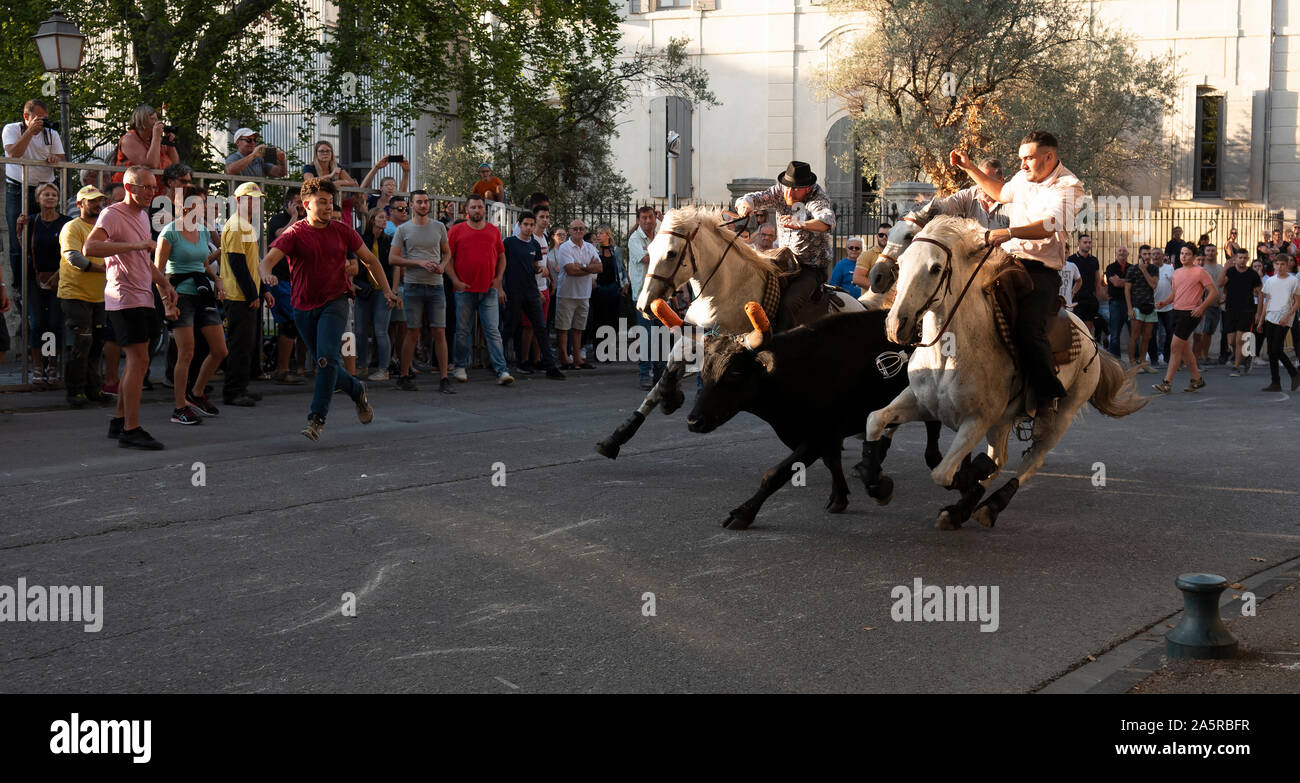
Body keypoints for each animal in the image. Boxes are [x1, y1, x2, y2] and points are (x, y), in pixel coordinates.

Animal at [595, 205, 863, 457]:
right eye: (649, 251)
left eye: (671, 253)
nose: (643, 305)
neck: (725, 291)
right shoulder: (691, 338)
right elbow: (662, 380)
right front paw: (620, 435)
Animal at [681, 308, 946, 528]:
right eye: (703, 371)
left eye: (734, 373)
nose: (694, 421)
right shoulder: (823, 437)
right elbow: (832, 462)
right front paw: (839, 497)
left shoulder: (818, 436)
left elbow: (775, 474)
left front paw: (743, 514)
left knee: (932, 434)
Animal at [863, 215, 1149, 528]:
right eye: (903, 263)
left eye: (936, 267)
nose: (895, 325)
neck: (950, 353)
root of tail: (1087, 334)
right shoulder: (921, 404)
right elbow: (875, 420)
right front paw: (877, 484)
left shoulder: (977, 420)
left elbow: (943, 473)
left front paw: (970, 478)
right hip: (1001, 422)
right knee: (1000, 459)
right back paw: (961, 509)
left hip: (1061, 415)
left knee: (1029, 461)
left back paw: (990, 506)